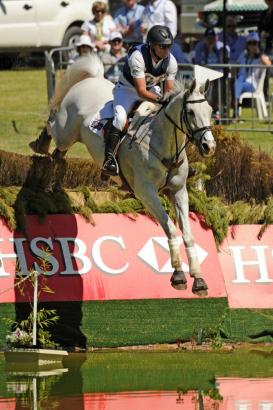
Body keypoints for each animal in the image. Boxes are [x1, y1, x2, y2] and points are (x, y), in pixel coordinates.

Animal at [44, 56, 216, 296]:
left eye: (210, 111)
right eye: (190, 113)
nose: (209, 146)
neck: (162, 143)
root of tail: (92, 79)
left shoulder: (178, 191)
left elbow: (188, 233)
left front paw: (199, 279)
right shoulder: (146, 192)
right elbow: (171, 228)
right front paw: (179, 276)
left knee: (59, 153)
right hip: (66, 131)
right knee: (52, 128)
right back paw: (40, 144)